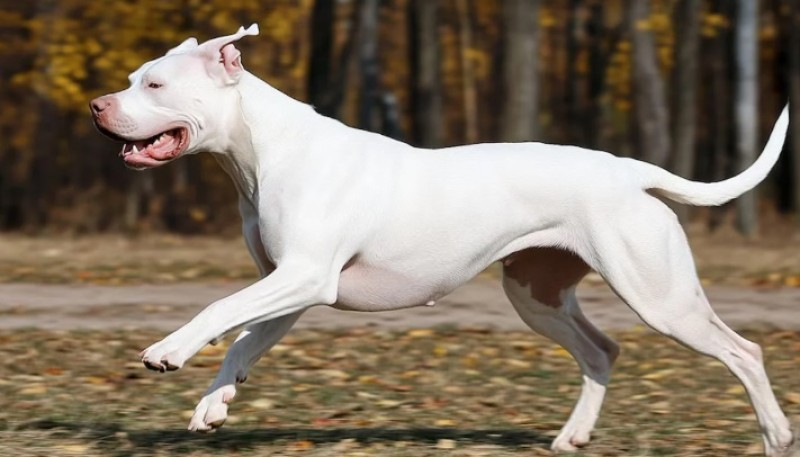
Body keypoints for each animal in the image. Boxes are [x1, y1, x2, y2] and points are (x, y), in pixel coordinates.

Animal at [92, 25, 792, 456]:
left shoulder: (303, 277)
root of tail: (630, 171)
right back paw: (572, 437)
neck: (262, 151)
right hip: (536, 295)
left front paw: (169, 350)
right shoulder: (288, 287)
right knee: (602, 351)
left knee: (744, 351)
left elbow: (219, 309)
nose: (98, 106)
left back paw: (777, 436)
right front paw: (215, 404)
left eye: (154, 85)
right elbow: (243, 338)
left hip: (661, 298)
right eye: (132, 78)